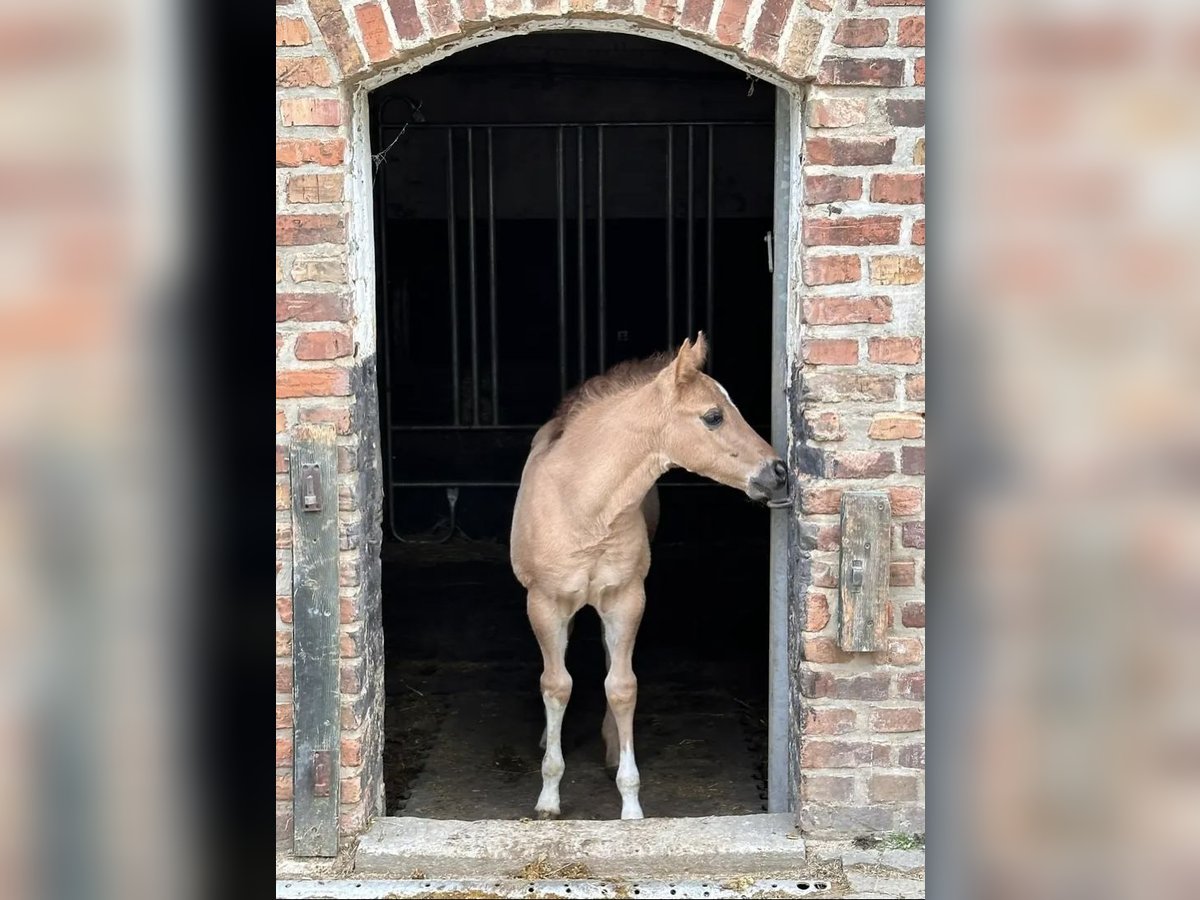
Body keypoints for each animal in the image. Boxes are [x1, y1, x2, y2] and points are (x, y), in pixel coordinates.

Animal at [511, 336, 792, 820]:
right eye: (713, 416)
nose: (779, 474)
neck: (584, 505)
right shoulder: (544, 603)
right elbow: (556, 684)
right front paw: (548, 797)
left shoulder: (627, 599)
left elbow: (623, 687)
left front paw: (630, 804)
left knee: (609, 663)